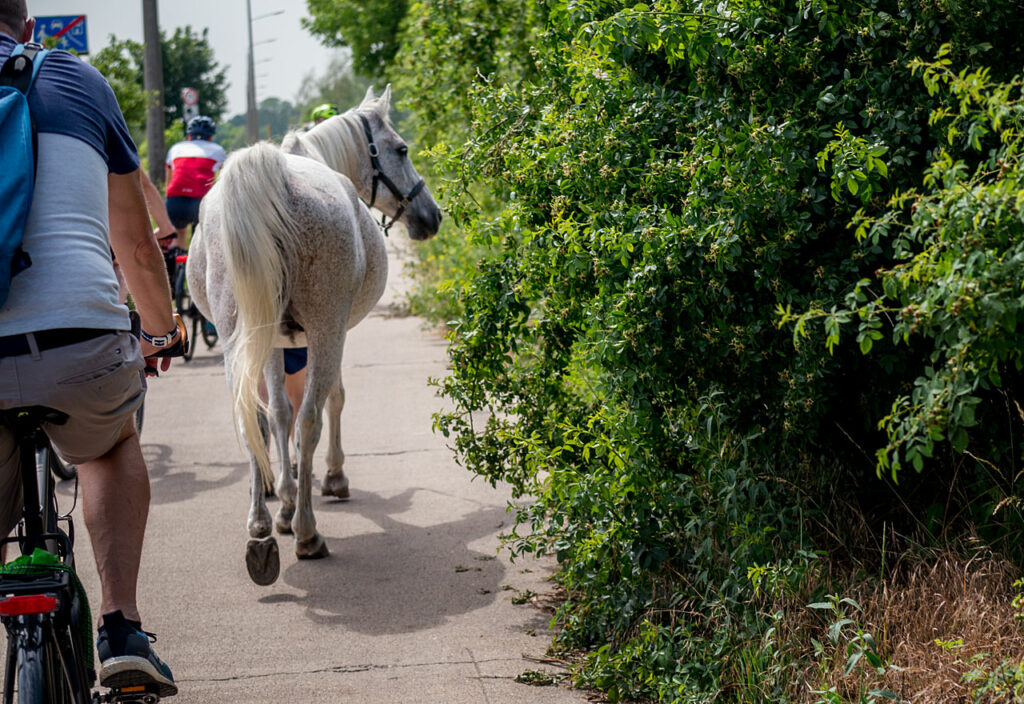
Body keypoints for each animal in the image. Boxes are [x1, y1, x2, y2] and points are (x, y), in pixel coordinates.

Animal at [186, 86, 442, 585]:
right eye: (401, 149)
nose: (431, 215)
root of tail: (274, 178)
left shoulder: (273, 344)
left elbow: (277, 414)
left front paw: (283, 502)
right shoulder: (335, 333)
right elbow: (331, 401)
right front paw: (330, 480)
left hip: (238, 337)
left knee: (254, 417)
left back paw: (261, 530)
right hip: (324, 331)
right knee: (309, 421)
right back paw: (307, 533)